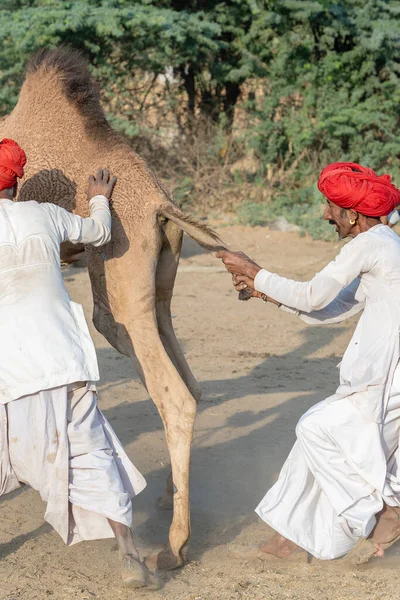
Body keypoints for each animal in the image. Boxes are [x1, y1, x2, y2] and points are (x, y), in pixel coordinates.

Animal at [0, 48, 231, 572]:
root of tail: (162, 206)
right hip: (158, 287)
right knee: (188, 380)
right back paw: (168, 497)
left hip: (119, 278)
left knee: (171, 390)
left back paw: (172, 546)